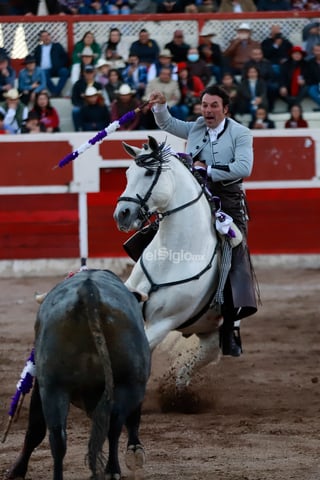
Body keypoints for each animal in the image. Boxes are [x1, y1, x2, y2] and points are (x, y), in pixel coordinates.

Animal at [5, 270, 151, 480]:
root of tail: (88, 291)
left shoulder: (42, 384)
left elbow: (36, 428)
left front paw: (17, 470)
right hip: (128, 383)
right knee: (113, 425)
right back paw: (111, 470)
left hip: (55, 386)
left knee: (57, 436)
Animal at [114, 136, 224, 390]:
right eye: (127, 173)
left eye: (148, 173)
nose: (121, 214)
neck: (171, 255)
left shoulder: (164, 322)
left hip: (215, 331)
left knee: (204, 357)